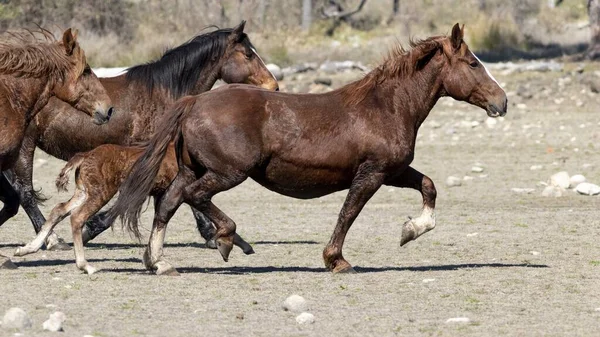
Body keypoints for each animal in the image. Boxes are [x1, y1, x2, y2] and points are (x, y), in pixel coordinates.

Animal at [108, 24, 506, 276]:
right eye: (473, 63)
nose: (501, 101)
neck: (386, 106)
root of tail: (194, 101)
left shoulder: (392, 171)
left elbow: (429, 186)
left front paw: (411, 230)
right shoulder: (372, 173)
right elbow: (348, 214)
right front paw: (337, 261)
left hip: (194, 169)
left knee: (169, 202)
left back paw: (159, 262)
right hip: (227, 173)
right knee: (193, 197)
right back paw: (226, 240)